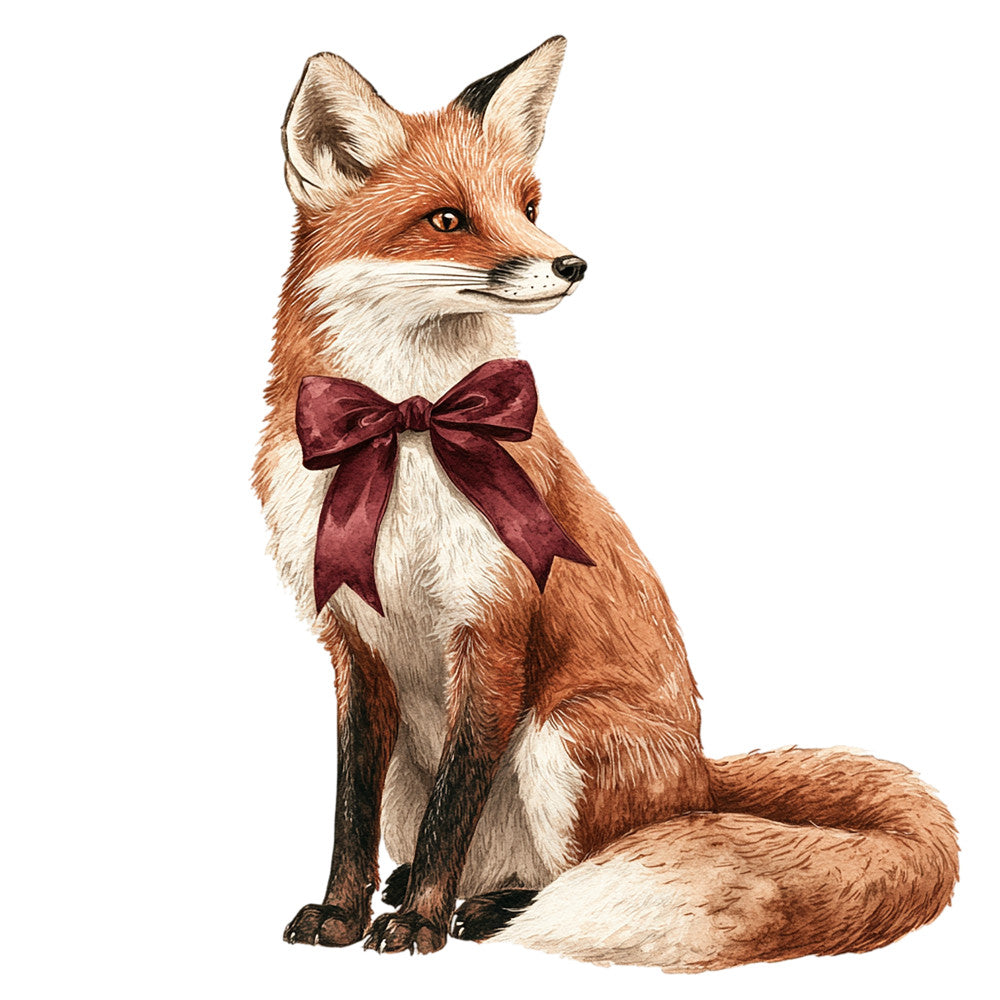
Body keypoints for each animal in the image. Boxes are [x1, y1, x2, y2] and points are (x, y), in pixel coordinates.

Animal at [253, 36, 958, 971]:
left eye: (529, 205)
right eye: (448, 220)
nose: (572, 264)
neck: (411, 425)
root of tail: (700, 778)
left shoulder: (493, 627)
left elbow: (454, 807)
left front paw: (419, 926)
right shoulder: (352, 645)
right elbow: (349, 811)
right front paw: (341, 913)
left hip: (566, 733)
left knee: (578, 864)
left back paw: (487, 910)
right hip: (433, 756)